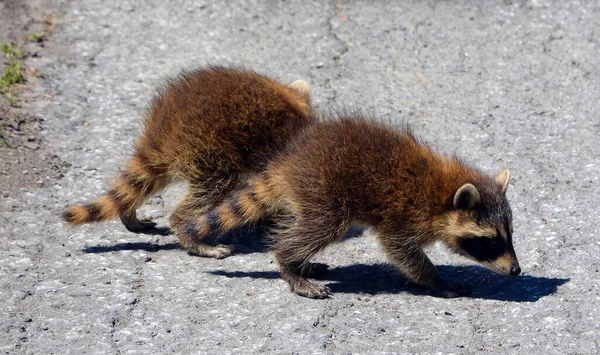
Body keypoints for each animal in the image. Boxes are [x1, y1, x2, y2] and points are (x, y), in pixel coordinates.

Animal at [182, 114, 520, 298]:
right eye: (490, 240)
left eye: (510, 235)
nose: (516, 270)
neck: (442, 193)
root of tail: (287, 162)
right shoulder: (403, 216)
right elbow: (403, 254)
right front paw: (437, 281)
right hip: (325, 192)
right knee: (318, 228)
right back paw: (289, 262)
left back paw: (300, 261)